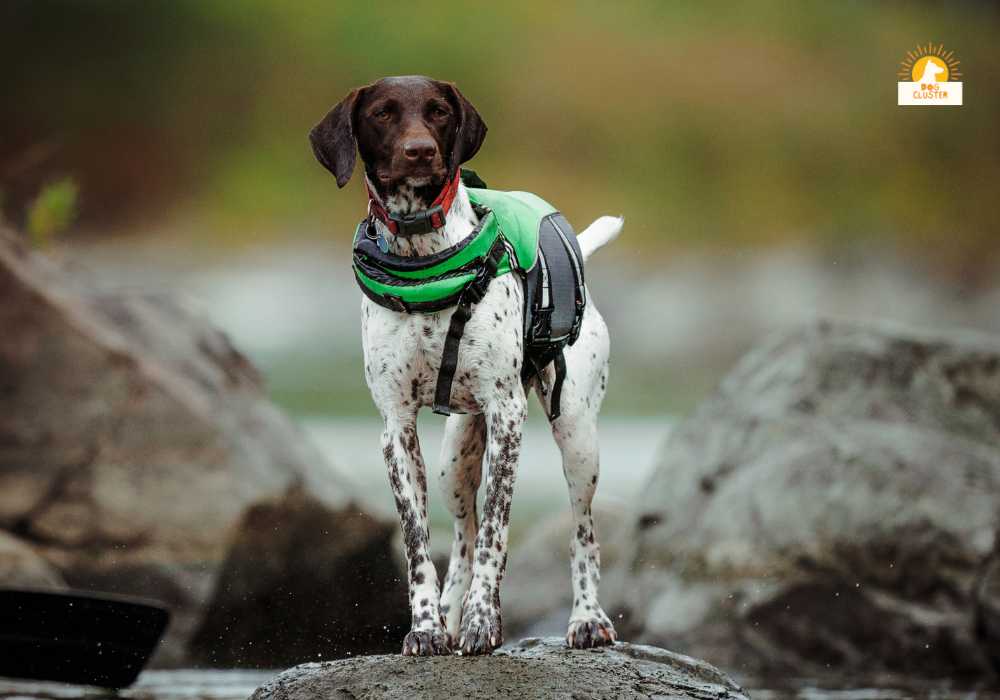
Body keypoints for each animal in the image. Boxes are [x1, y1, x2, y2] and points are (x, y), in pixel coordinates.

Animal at [312, 76, 620, 656]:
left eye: (437, 111)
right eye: (383, 113)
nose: (420, 152)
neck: (420, 256)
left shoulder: (506, 415)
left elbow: (497, 532)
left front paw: (482, 623)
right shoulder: (396, 427)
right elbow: (418, 542)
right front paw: (428, 628)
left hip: (576, 437)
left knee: (582, 532)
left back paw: (587, 618)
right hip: (454, 457)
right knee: (461, 537)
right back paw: (450, 614)